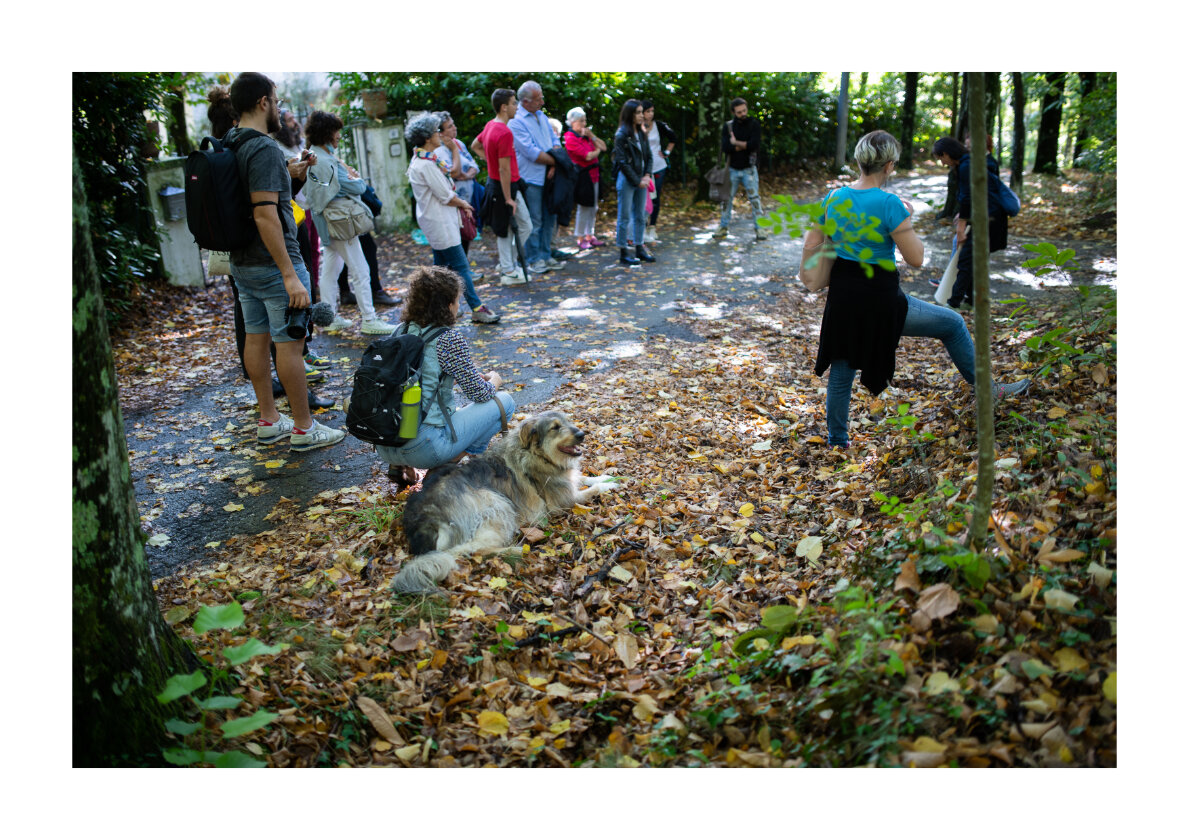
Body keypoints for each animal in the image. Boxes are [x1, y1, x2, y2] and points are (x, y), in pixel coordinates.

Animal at [392, 411, 618, 592]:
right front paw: (607, 486)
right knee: (469, 550)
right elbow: (589, 490)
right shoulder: (563, 499)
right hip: (495, 502)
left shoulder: (566, 481)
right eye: (555, 427)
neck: (535, 453)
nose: (582, 434)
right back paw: (516, 550)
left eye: (568, 421)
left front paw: (609, 476)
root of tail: (424, 518)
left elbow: (584, 478)